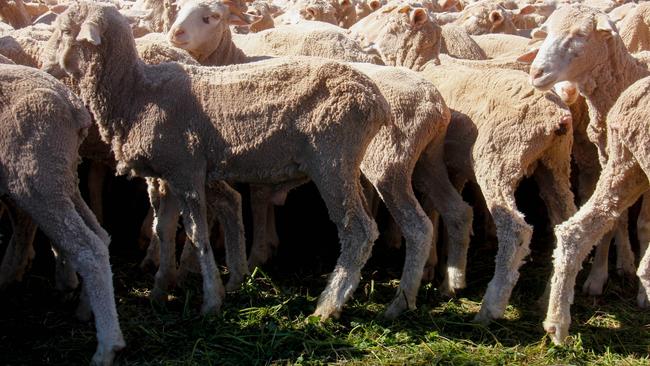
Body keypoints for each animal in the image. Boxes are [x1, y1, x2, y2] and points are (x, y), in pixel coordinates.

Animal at [0, 62, 124, 364]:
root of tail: (73, 107)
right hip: (61, 176)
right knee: (100, 236)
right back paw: (85, 309)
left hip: (36, 178)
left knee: (87, 248)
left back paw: (107, 346)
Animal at [46, 2, 390, 324]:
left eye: (64, 31)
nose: (47, 66)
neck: (135, 92)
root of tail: (376, 99)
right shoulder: (169, 172)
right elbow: (164, 229)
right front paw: (160, 290)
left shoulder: (187, 171)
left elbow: (197, 234)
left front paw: (211, 299)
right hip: (347, 166)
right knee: (367, 227)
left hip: (331, 160)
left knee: (357, 231)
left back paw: (328, 306)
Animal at [416, 62, 572, 324]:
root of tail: (555, 117)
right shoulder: (454, 167)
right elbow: (440, 210)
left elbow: (438, 209)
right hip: (555, 165)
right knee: (569, 227)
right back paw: (547, 300)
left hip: (498, 160)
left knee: (515, 229)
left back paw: (490, 307)